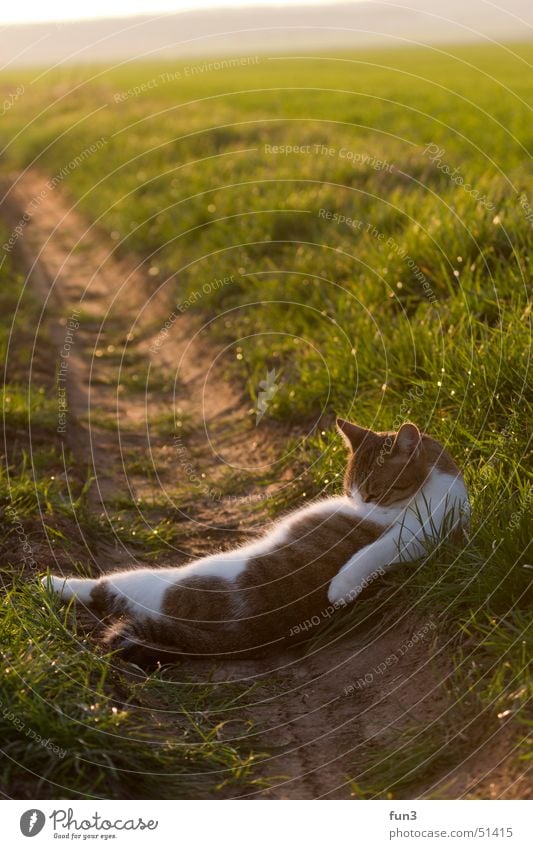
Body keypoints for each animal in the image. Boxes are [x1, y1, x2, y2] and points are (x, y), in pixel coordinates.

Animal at [42, 418, 466, 664]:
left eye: (374, 492)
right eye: (350, 487)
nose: (356, 501)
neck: (435, 484)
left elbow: (377, 551)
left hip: (156, 580)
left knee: (101, 588)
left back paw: (50, 582)